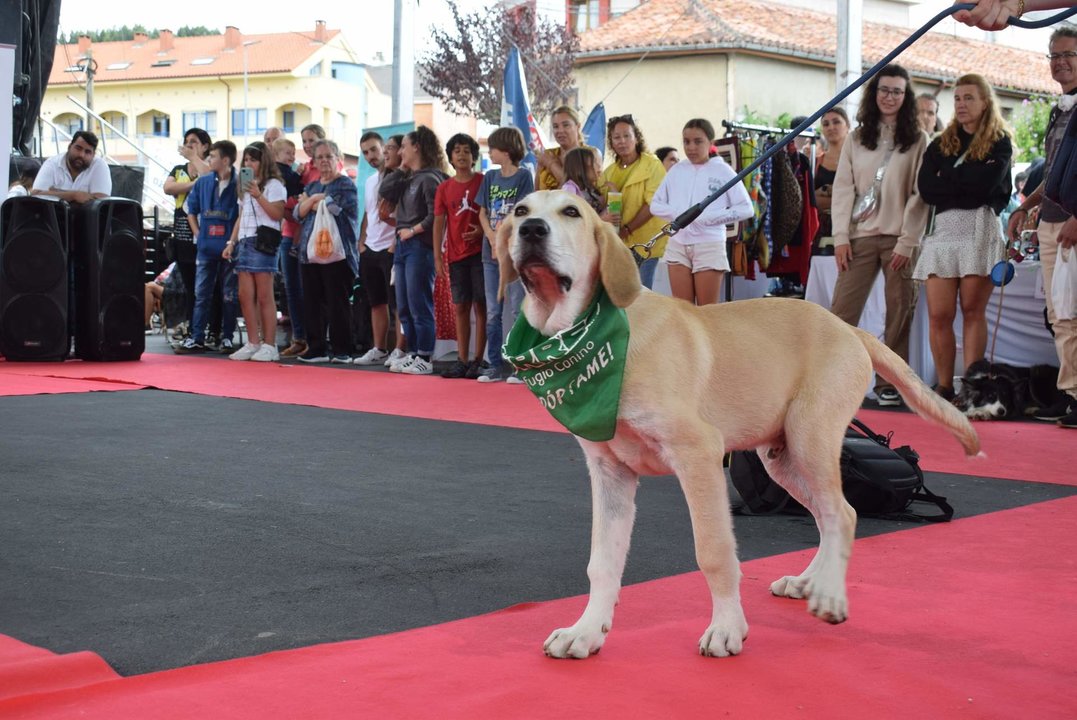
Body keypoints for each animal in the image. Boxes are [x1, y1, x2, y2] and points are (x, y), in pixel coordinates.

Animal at [493, 189, 982, 658]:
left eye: (571, 212)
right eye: (520, 211)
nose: (532, 231)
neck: (591, 334)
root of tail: (849, 329)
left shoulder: (699, 455)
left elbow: (713, 551)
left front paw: (727, 628)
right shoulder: (610, 472)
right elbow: (602, 562)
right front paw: (586, 631)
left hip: (812, 438)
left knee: (841, 513)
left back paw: (828, 594)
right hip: (782, 458)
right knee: (830, 516)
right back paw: (809, 581)